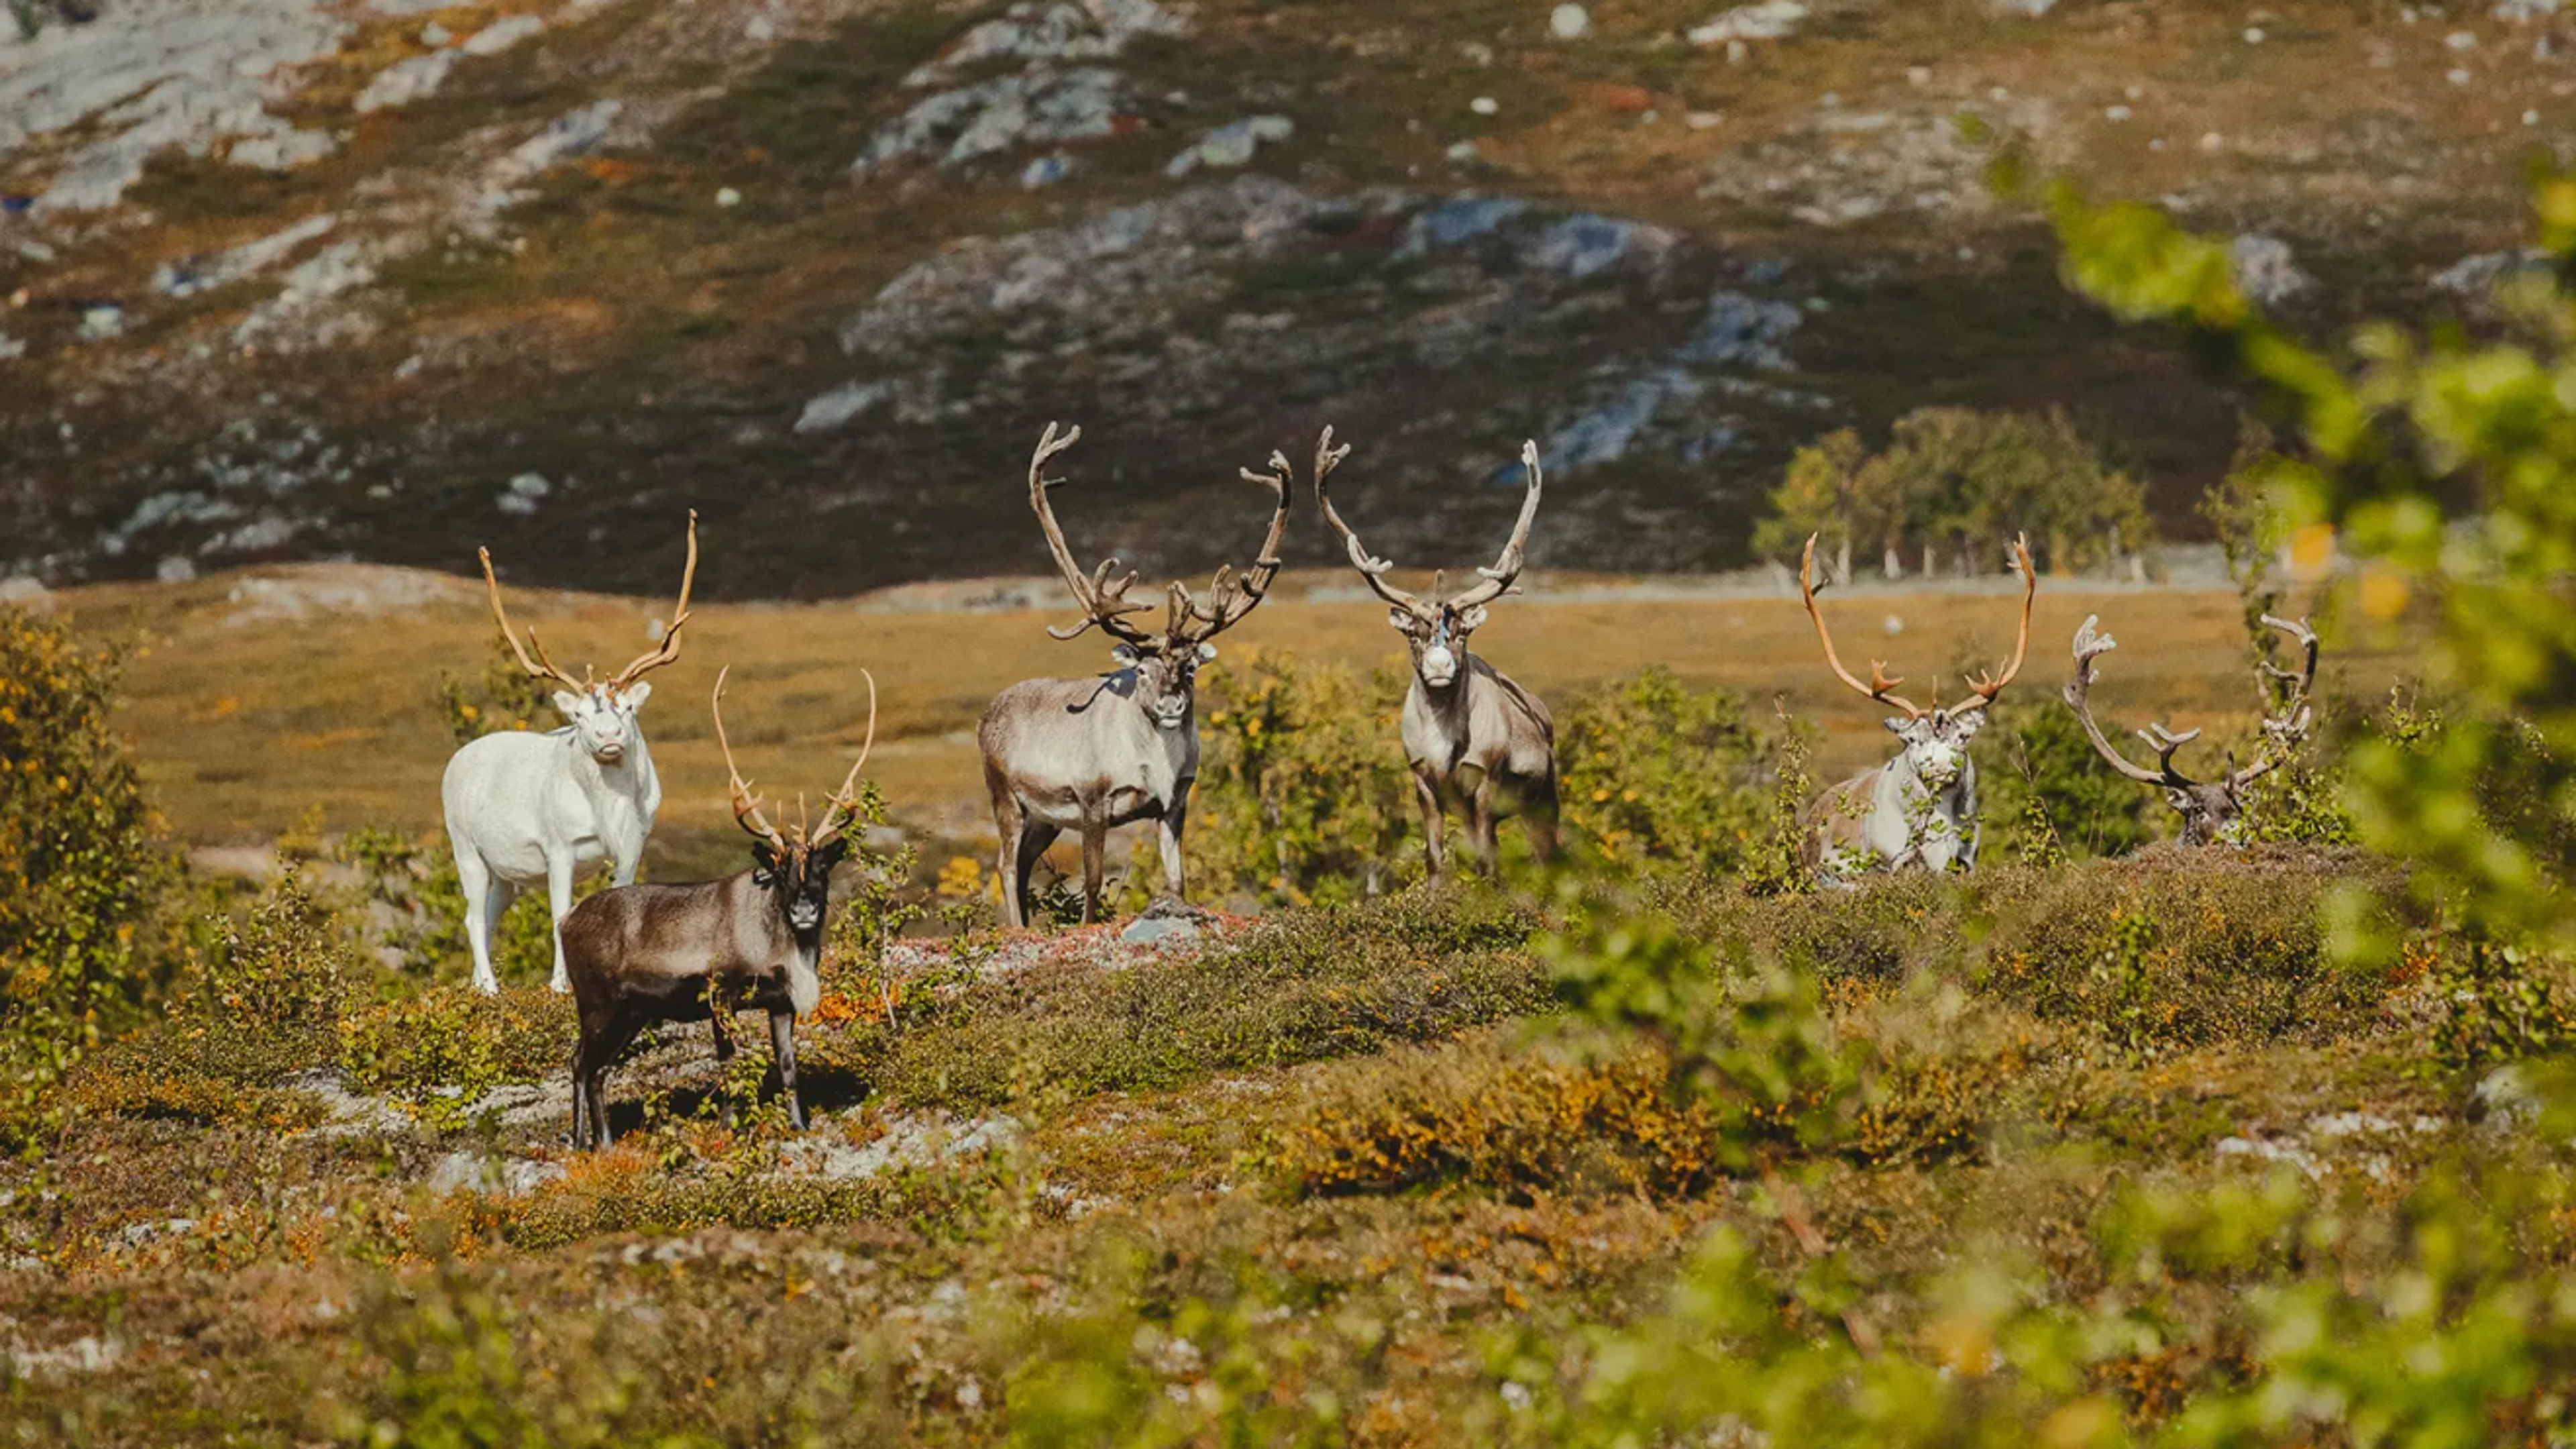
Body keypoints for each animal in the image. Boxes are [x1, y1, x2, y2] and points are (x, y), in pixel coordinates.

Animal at [439, 514, 697, 995]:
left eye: (627, 707)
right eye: (578, 715)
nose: (609, 735)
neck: (611, 808)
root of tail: (455, 761)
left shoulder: (633, 842)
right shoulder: (559, 847)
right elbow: (561, 916)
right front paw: (561, 985)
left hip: (507, 872)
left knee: (489, 913)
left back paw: (477, 986)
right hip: (465, 847)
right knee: (470, 916)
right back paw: (490, 987)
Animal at [556, 665, 877, 1150]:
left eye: (823, 868)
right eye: (779, 870)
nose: (803, 910)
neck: (779, 950)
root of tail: (566, 920)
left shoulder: (780, 1003)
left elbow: (788, 1067)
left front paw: (799, 1126)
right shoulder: (720, 995)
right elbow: (729, 1064)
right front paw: (728, 1129)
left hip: (633, 1012)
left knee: (599, 1069)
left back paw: (607, 1144)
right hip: (597, 1002)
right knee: (579, 1062)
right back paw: (580, 1143)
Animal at [978, 421, 1300, 928]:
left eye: (1190, 668)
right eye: (1144, 671)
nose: (1171, 705)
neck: (1155, 762)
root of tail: (986, 715)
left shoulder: (1174, 804)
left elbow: (1177, 881)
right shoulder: (1091, 801)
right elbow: (1092, 884)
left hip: (1045, 818)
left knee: (1025, 862)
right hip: (1007, 795)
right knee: (1007, 865)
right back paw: (1017, 929)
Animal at [1317, 436, 1557, 883]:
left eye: (1463, 632)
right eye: (1412, 633)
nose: (1440, 666)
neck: (1446, 744)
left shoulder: (1485, 779)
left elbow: (1485, 860)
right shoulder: (1423, 779)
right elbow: (1434, 856)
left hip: (1544, 794)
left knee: (1548, 853)